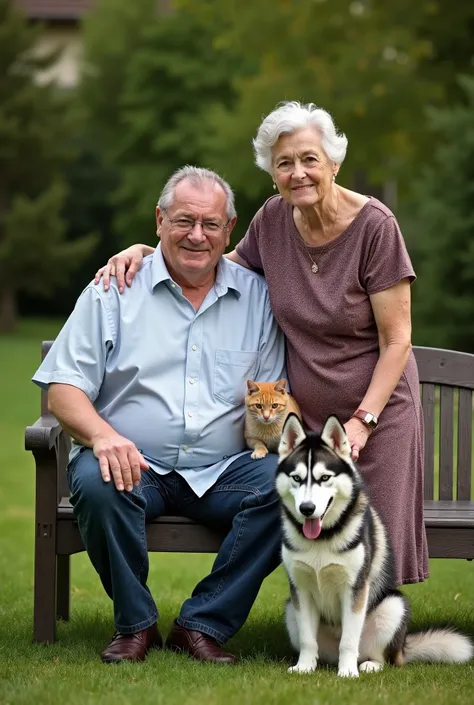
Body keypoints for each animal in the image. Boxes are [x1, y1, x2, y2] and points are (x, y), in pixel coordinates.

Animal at [276, 412, 472, 676]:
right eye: (296, 478)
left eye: (325, 478)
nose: (307, 509)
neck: (323, 537)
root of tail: (403, 648)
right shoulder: (300, 589)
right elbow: (308, 639)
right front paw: (304, 667)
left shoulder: (355, 588)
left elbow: (349, 640)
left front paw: (348, 673)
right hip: (290, 610)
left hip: (393, 606)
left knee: (379, 656)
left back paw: (369, 664)